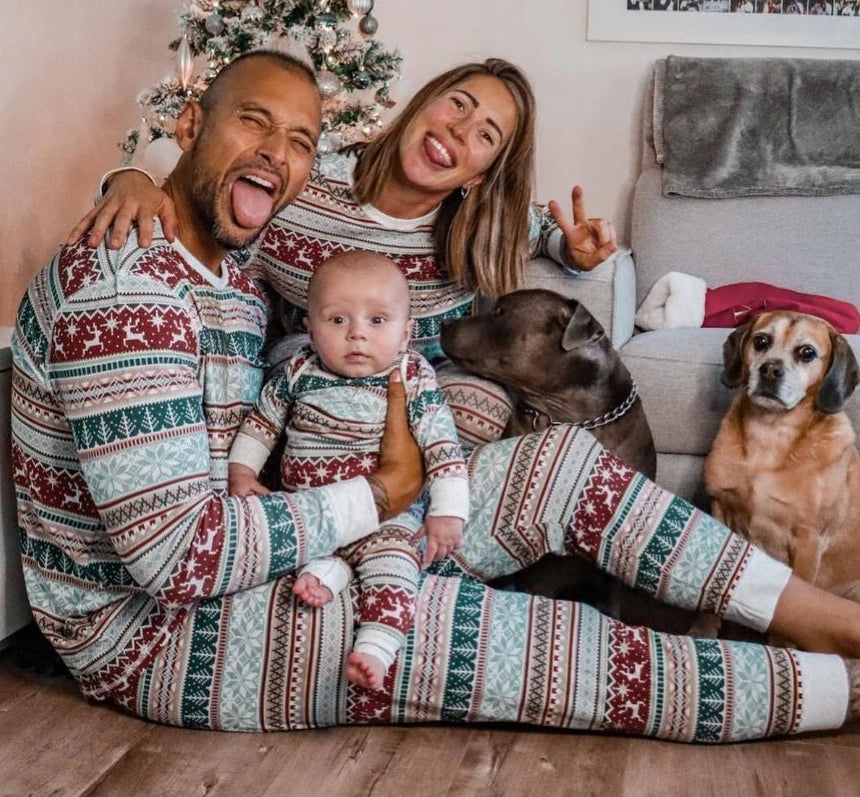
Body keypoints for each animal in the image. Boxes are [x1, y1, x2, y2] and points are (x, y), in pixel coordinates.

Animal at [704, 308, 860, 600]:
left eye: (807, 352)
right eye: (761, 341)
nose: (769, 369)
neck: (771, 432)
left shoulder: (808, 542)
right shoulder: (720, 508)